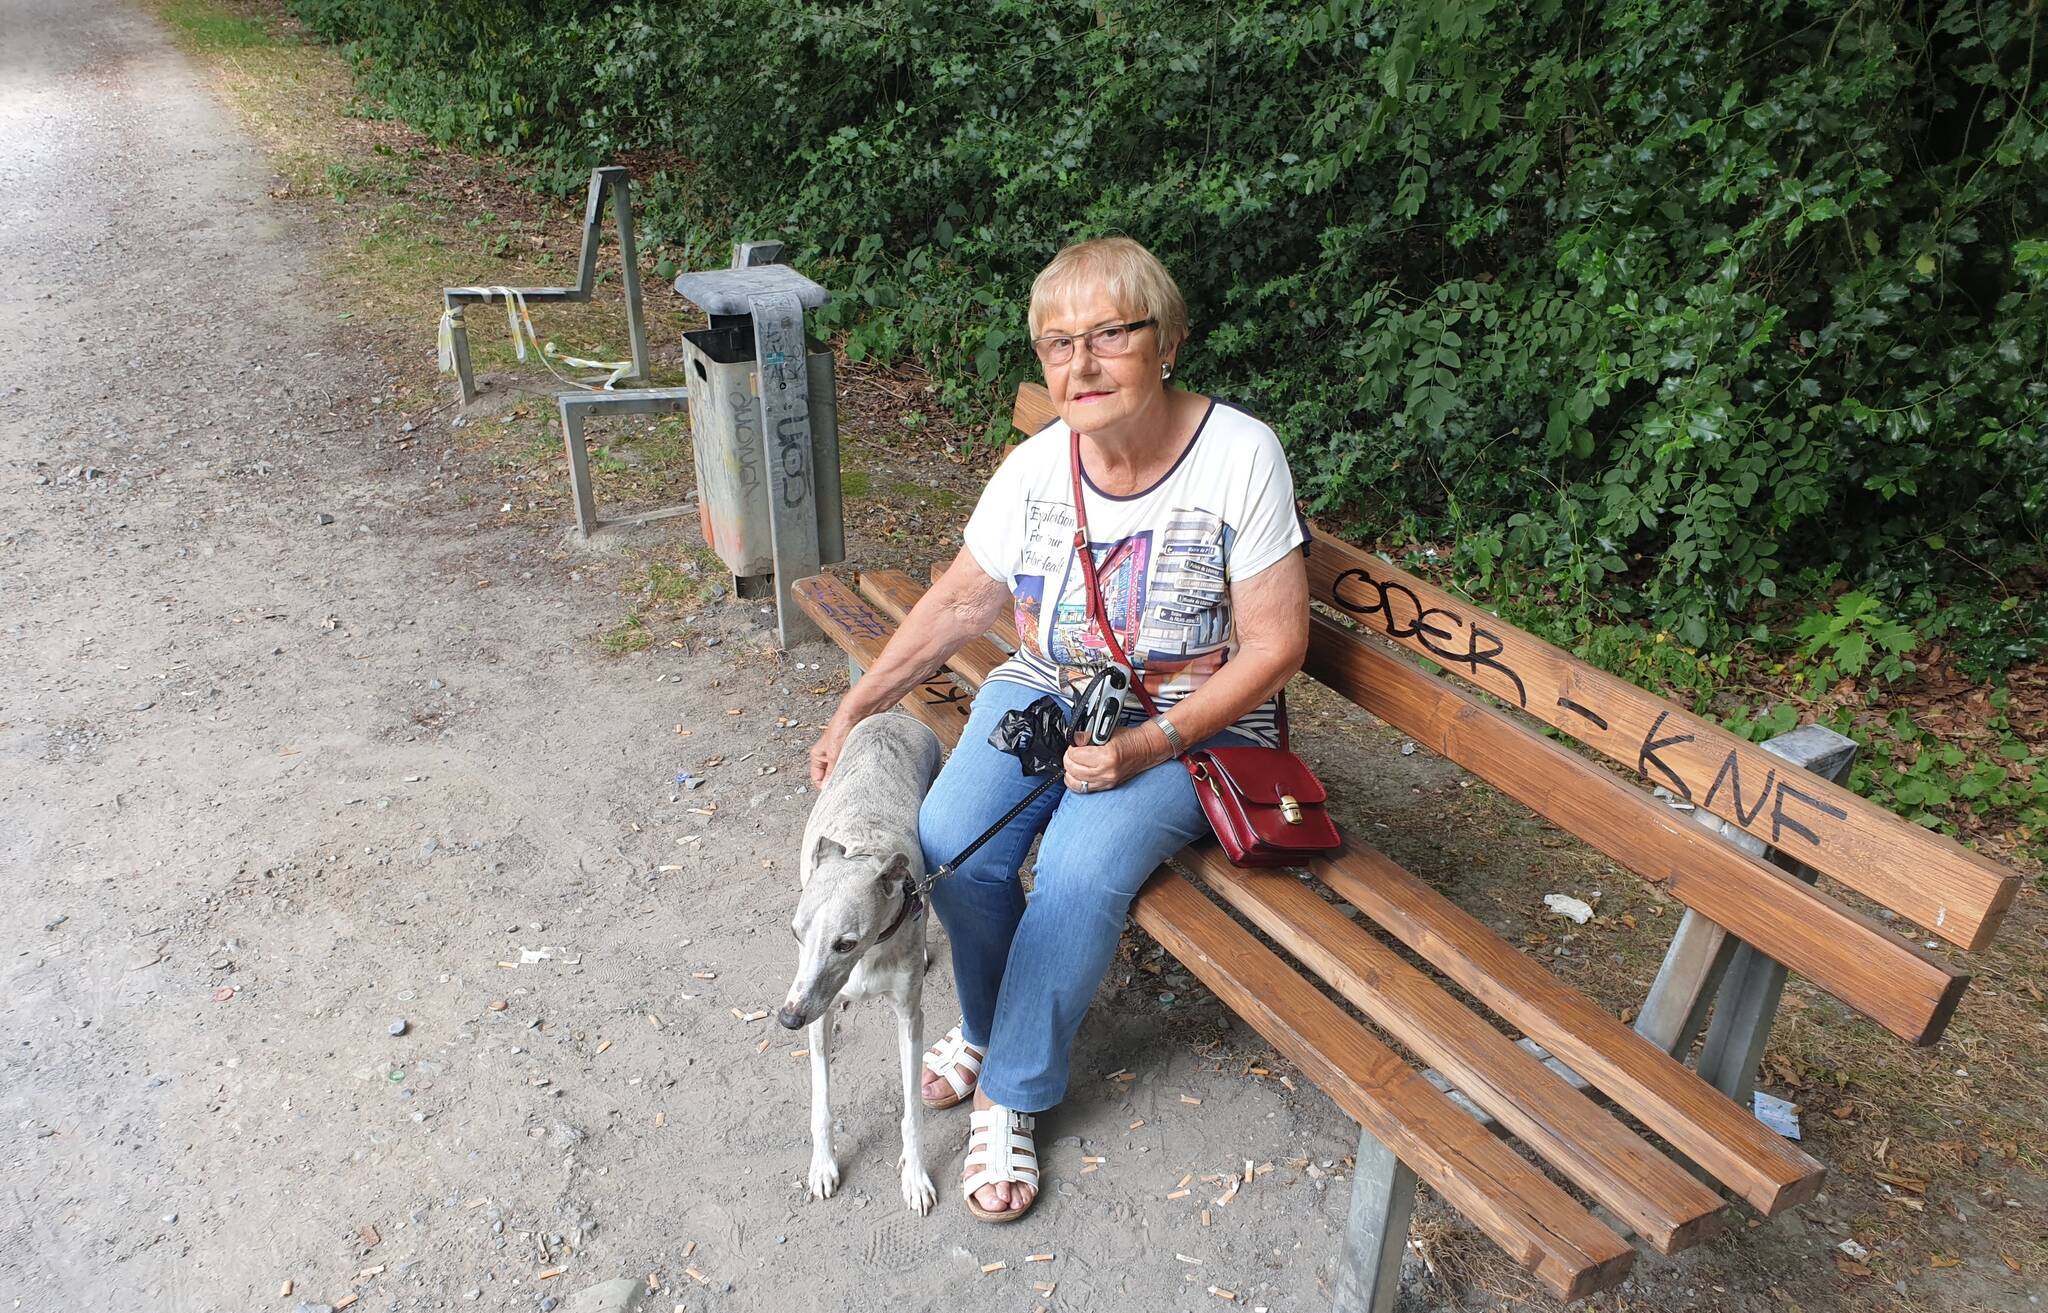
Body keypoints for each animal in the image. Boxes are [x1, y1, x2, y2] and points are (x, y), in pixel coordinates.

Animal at [778, 712, 946, 1212]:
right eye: (795, 932)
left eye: (845, 944)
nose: (787, 1019)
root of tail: (896, 716)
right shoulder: (818, 1012)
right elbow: (821, 1105)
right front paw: (823, 1166)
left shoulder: (910, 1016)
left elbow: (912, 1112)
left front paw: (915, 1176)